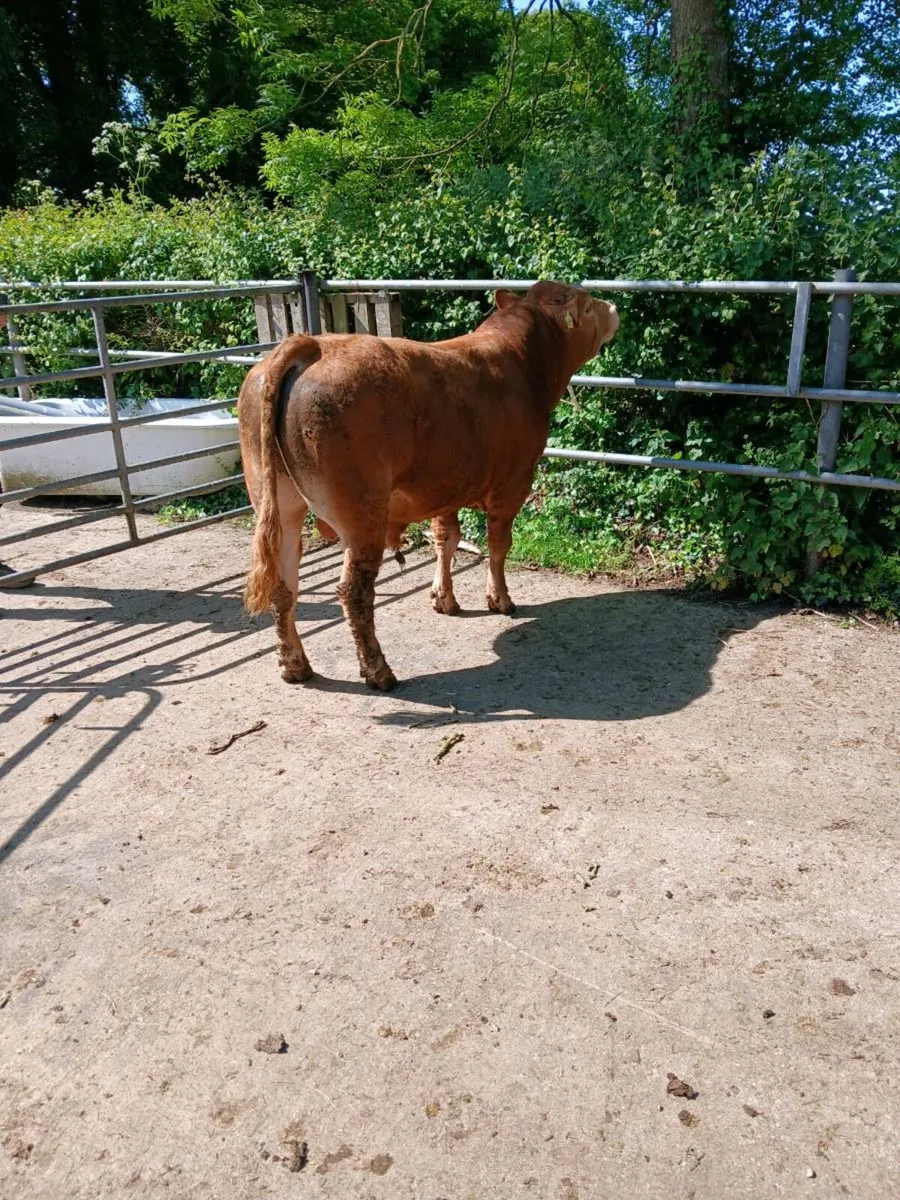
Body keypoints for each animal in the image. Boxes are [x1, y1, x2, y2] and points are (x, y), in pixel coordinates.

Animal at [238, 280, 619, 690]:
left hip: (280, 505)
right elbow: (498, 546)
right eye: (588, 304)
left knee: (283, 585)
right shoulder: (512, 484)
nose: (614, 307)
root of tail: (312, 345)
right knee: (354, 592)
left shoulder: (444, 486)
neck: (522, 361)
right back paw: (378, 671)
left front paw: (443, 598)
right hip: (361, 515)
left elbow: (446, 540)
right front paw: (499, 599)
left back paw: (295, 665)